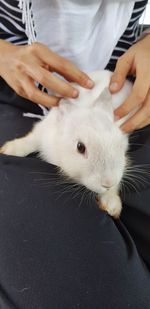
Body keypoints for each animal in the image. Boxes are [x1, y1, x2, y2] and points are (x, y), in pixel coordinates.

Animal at [0, 70, 133, 217]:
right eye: (80, 147)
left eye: (120, 144)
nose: (108, 182)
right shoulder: (42, 132)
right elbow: (30, 141)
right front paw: (8, 150)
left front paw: (111, 205)